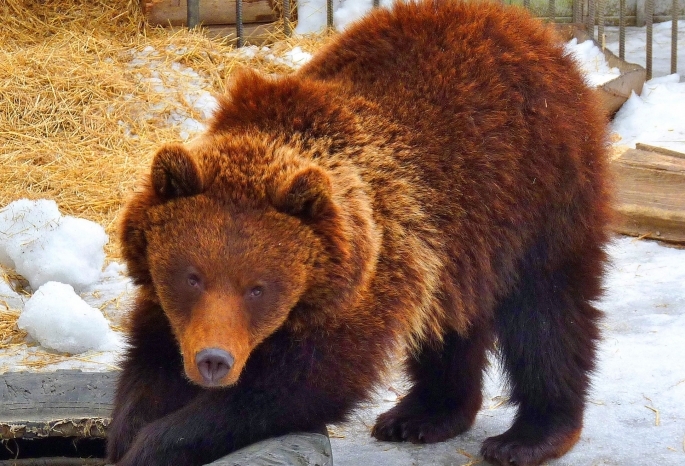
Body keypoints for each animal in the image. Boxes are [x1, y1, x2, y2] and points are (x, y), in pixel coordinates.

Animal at [107, 1, 608, 464]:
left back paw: (528, 435)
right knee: (452, 320)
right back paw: (423, 414)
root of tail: (527, 27)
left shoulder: (364, 281)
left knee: (548, 314)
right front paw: (127, 430)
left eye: (258, 288)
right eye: (192, 276)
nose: (214, 360)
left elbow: (303, 384)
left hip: (539, 191)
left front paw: (158, 442)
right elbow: (152, 356)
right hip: (463, 245)